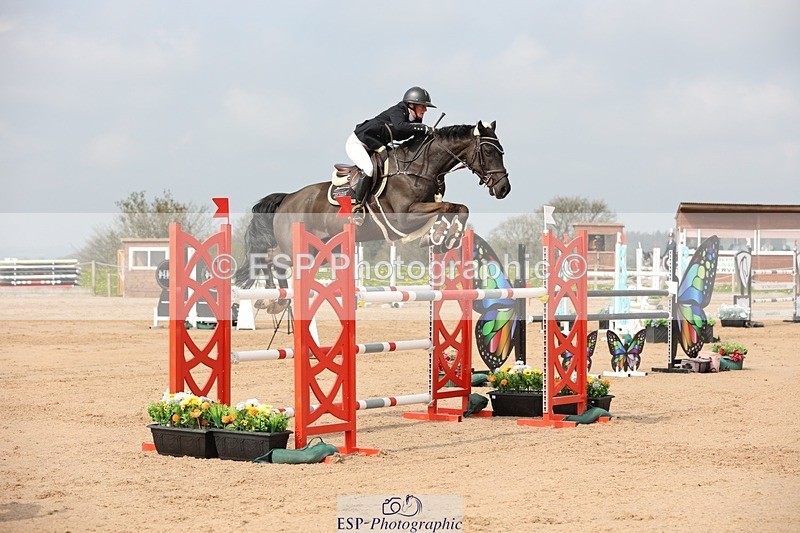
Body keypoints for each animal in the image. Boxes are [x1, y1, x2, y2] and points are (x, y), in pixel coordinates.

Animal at [234, 120, 511, 288]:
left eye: (501, 151)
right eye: (488, 152)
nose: (503, 189)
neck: (418, 168)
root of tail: (288, 198)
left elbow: (459, 208)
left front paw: (444, 238)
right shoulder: (405, 218)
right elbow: (450, 207)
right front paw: (442, 236)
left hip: (318, 252)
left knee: (273, 259)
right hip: (297, 248)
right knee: (270, 258)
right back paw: (273, 298)